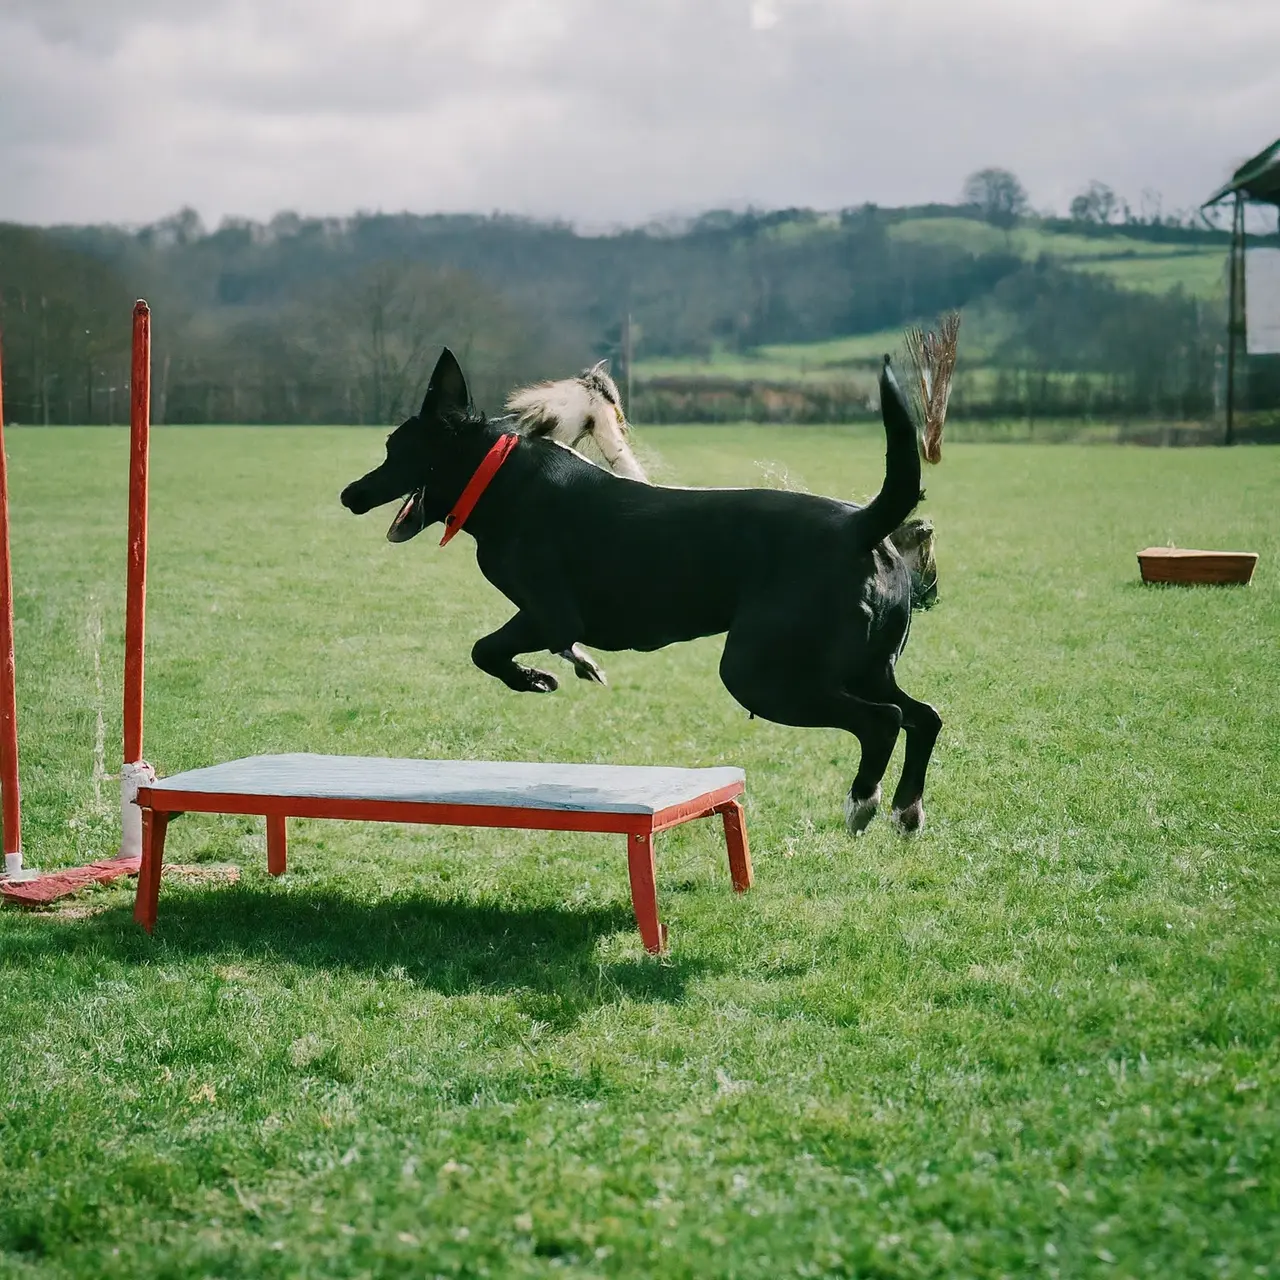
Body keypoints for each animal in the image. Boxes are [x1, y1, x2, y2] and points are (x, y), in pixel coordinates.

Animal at [340, 350, 942, 834]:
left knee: (883, 720)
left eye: (394, 447)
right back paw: (906, 810)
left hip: (759, 672)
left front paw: (534, 678)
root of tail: (861, 526)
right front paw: (561, 670)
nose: (350, 494)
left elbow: (485, 649)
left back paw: (862, 803)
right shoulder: (548, 621)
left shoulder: (549, 614)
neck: (500, 475)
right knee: (923, 715)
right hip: (864, 665)